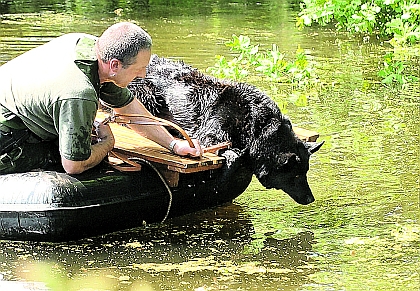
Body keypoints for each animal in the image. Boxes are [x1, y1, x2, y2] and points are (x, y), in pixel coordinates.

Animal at [126, 54, 324, 205]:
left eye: (305, 173)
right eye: (296, 176)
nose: (311, 199)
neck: (257, 127)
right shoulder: (209, 136)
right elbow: (232, 157)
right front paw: (220, 182)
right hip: (146, 94)